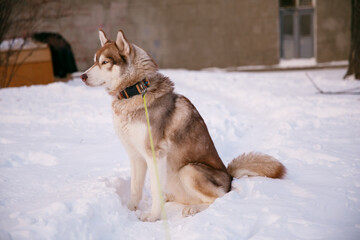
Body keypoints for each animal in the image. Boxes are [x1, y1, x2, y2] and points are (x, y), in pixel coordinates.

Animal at [80, 29, 286, 221]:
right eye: (94, 61)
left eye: (105, 62)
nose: (82, 76)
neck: (136, 91)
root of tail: (229, 176)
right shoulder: (135, 155)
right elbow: (135, 187)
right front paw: (130, 210)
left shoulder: (155, 154)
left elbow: (154, 188)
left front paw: (153, 216)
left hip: (189, 170)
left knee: (217, 198)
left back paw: (192, 208)